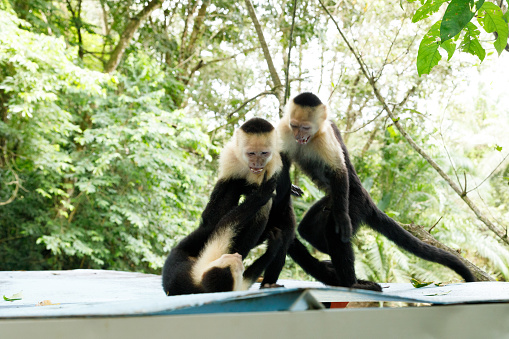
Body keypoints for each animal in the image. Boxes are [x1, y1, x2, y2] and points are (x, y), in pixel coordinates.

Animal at [161, 118, 292, 296]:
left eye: (264, 153)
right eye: (251, 154)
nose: (236, 257)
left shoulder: (272, 164)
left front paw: (273, 245)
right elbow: (226, 223)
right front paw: (260, 195)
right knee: (212, 222)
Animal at [280, 92, 474, 292]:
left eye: (306, 127)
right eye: (294, 126)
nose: (299, 135)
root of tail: (366, 198)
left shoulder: (325, 137)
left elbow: (339, 171)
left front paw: (341, 218)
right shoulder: (285, 130)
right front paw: (289, 187)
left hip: (352, 202)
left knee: (335, 230)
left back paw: (351, 281)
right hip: (332, 200)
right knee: (307, 230)